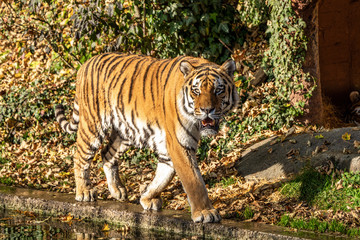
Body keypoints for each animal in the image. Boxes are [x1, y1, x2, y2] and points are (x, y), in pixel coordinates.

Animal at [55, 52, 239, 223]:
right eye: (196, 91)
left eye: (218, 90)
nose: (207, 110)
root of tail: (86, 63)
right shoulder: (179, 144)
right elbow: (194, 181)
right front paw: (205, 212)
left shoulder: (169, 147)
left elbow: (163, 176)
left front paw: (147, 198)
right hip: (92, 125)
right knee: (80, 156)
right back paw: (84, 192)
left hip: (124, 132)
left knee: (107, 153)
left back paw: (117, 191)